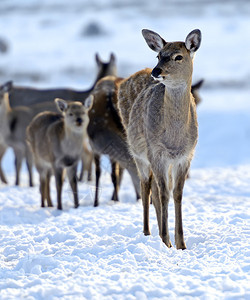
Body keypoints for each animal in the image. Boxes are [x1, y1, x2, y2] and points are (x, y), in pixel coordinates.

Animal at [117, 28, 201, 248]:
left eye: (178, 56)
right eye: (158, 55)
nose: (156, 71)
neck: (174, 139)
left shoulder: (185, 156)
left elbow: (177, 194)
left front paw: (181, 243)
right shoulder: (156, 153)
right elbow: (164, 194)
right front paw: (166, 241)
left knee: (154, 190)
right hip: (139, 153)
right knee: (146, 187)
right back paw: (147, 232)